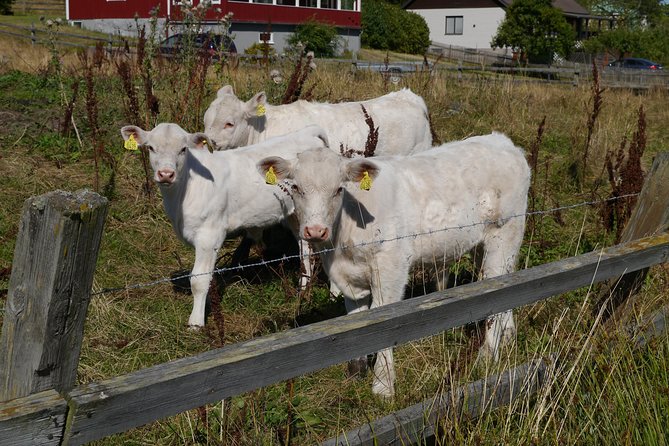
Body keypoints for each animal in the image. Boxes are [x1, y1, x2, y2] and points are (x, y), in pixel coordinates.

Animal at [121, 123, 330, 326]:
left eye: (183, 149)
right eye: (151, 147)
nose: (166, 174)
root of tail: (307, 132)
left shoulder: (209, 234)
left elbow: (199, 279)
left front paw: (196, 322)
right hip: (295, 214)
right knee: (304, 246)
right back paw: (303, 288)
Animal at [258, 132, 528, 398]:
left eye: (339, 189)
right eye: (295, 187)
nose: (315, 230)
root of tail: (502, 140)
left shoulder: (391, 270)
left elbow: (384, 323)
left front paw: (383, 385)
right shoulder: (348, 278)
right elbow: (355, 319)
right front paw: (356, 373)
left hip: (505, 234)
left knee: (496, 287)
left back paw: (487, 355)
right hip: (484, 244)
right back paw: (508, 335)